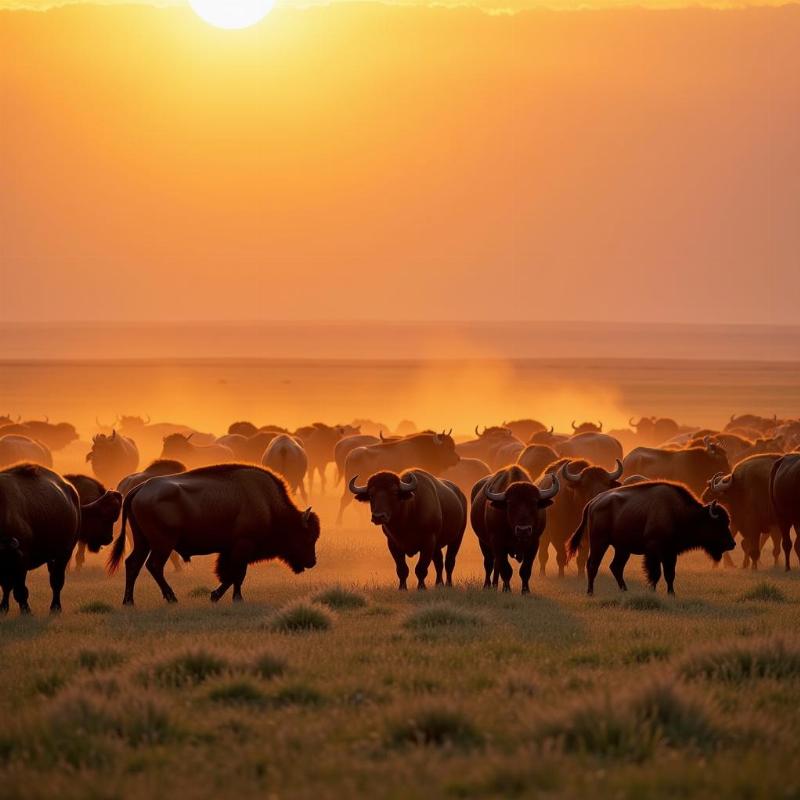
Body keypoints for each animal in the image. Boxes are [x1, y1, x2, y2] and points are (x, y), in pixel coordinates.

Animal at [0, 462, 122, 612]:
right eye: (105, 517)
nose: (109, 538)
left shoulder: (20, 560)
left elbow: (19, 589)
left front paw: (25, 611)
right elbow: (8, 586)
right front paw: (4, 608)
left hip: (63, 553)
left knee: (56, 581)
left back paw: (55, 608)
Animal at [108, 466, 318, 604]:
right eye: (307, 536)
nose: (312, 562)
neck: (268, 505)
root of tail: (140, 488)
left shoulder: (232, 550)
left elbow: (233, 574)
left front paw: (225, 597)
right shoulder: (242, 547)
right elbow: (236, 573)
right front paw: (228, 598)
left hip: (143, 541)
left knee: (133, 564)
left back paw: (129, 601)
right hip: (162, 544)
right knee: (154, 566)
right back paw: (171, 598)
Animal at [568, 482, 732, 592]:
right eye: (718, 524)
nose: (732, 544)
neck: (678, 513)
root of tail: (593, 502)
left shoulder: (670, 553)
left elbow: (670, 574)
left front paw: (671, 594)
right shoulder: (654, 550)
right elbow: (656, 573)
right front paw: (653, 591)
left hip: (622, 549)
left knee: (615, 567)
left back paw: (625, 590)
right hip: (599, 542)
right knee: (593, 564)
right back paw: (590, 592)